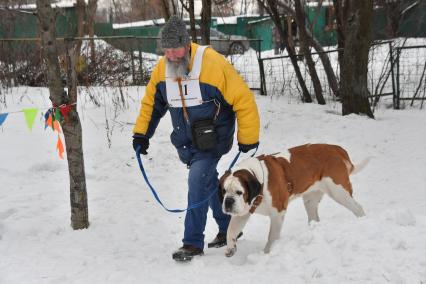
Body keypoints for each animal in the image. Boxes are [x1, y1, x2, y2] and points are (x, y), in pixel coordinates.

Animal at [218, 143, 368, 256]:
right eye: (224, 192)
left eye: (239, 192)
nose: (228, 201)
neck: (260, 180)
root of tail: (336, 148)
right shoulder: (242, 213)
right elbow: (231, 230)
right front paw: (230, 247)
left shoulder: (278, 213)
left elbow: (272, 237)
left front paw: (268, 253)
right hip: (311, 200)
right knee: (314, 218)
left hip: (339, 191)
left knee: (358, 208)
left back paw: (361, 222)